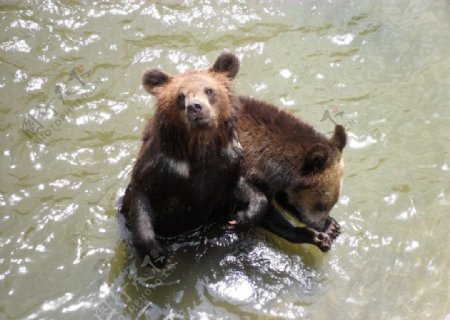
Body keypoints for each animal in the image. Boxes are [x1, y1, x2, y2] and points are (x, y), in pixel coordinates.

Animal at [119, 52, 268, 268]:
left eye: (209, 90)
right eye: (180, 96)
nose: (195, 107)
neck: (198, 151)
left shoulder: (223, 168)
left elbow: (243, 190)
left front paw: (242, 218)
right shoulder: (159, 169)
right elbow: (142, 197)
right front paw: (158, 254)